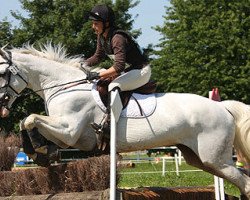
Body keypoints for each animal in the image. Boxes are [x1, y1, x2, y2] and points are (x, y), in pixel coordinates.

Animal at [0, 43, 250, 198]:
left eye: (3, 73)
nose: (2, 108)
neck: (63, 86)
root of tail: (222, 107)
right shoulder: (70, 137)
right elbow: (27, 122)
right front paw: (42, 153)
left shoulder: (69, 132)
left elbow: (30, 119)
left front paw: (40, 151)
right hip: (199, 158)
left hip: (215, 158)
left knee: (244, 182)